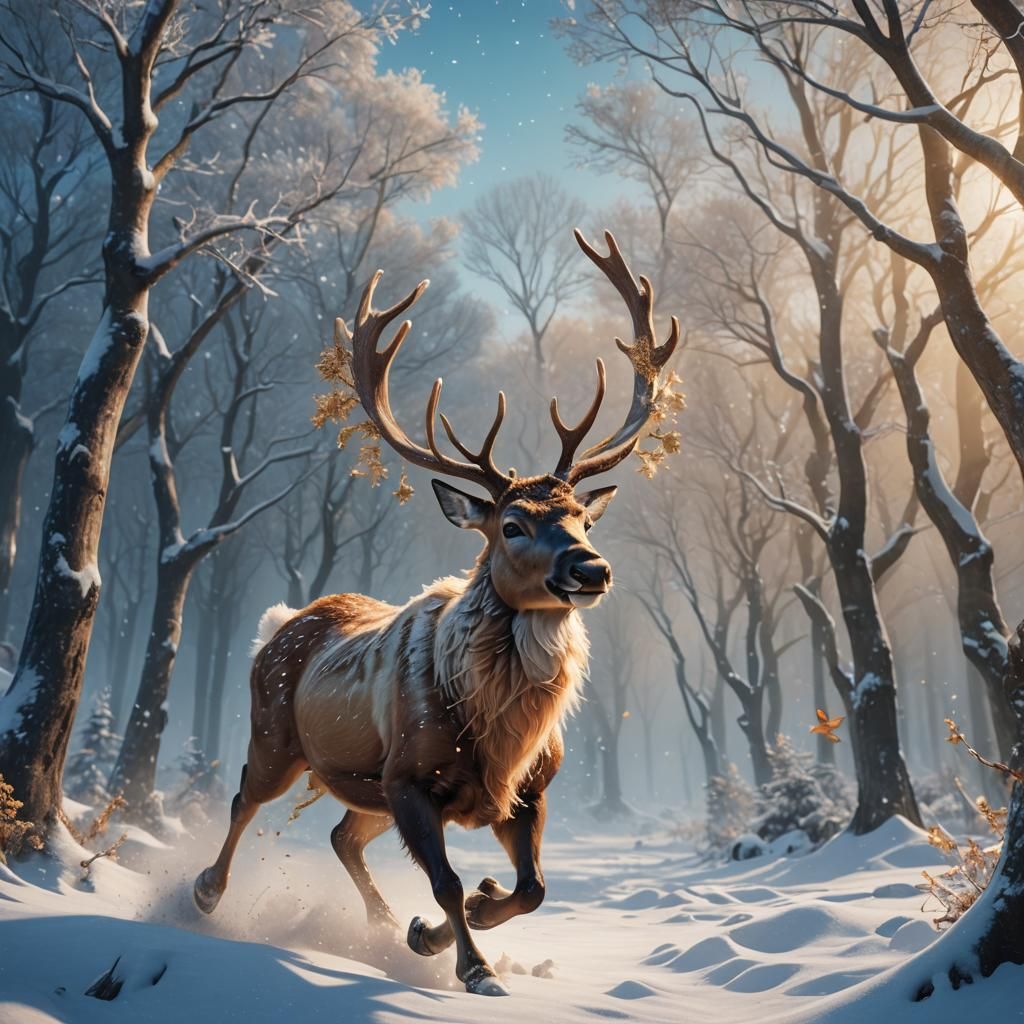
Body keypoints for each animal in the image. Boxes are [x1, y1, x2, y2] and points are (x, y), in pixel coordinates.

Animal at [193, 229, 680, 996]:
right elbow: (446, 880)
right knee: (245, 794)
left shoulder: (529, 791)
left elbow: (533, 888)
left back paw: (386, 923)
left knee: (340, 833)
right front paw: (474, 968)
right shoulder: (409, 779)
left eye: (581, 517)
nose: (591, 569)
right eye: (511, 525)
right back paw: (207, 891)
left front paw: (454, 921)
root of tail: (278, 623)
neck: (496, 738)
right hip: (277, 733)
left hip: (361, 787)